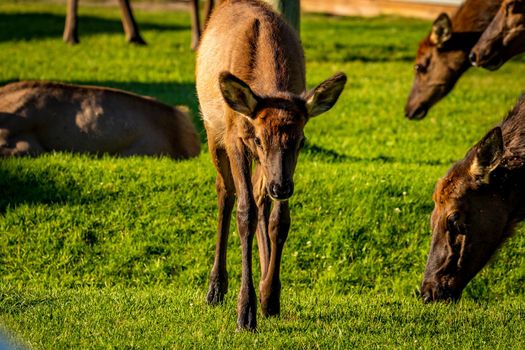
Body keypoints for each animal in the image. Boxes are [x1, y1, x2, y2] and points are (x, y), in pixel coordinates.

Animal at [194, 0, 346, 330]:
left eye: (301, 140)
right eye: (259, 138)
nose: (282, 187)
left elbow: (280, 220)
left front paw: (271, 296)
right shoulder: (236, 137)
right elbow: (245, 214)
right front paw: (245, 311)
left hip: (264, 168)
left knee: (260, 197)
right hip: (213, 132)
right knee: (226, 192)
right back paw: (216, 288)